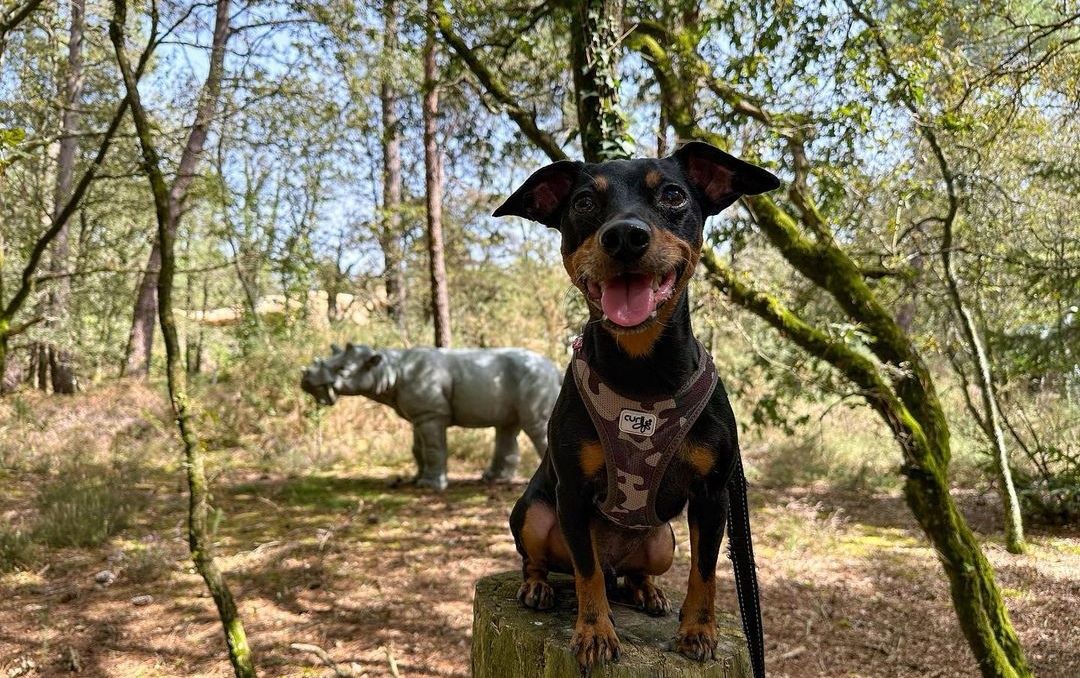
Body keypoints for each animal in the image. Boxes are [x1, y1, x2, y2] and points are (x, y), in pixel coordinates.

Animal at [494, 140, 781, 673]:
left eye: (672, 195)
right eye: (584, 202)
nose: (625, 236)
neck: (642, 372)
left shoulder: (714, 496)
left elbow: (706, 571)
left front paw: (698, 632)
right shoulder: (572, 493)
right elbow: (585, 574)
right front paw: (594, 633)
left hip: (662, 540)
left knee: (633, 574)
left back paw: (647, 592)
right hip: (532, 513)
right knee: (554, 561)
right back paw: (538, 586)